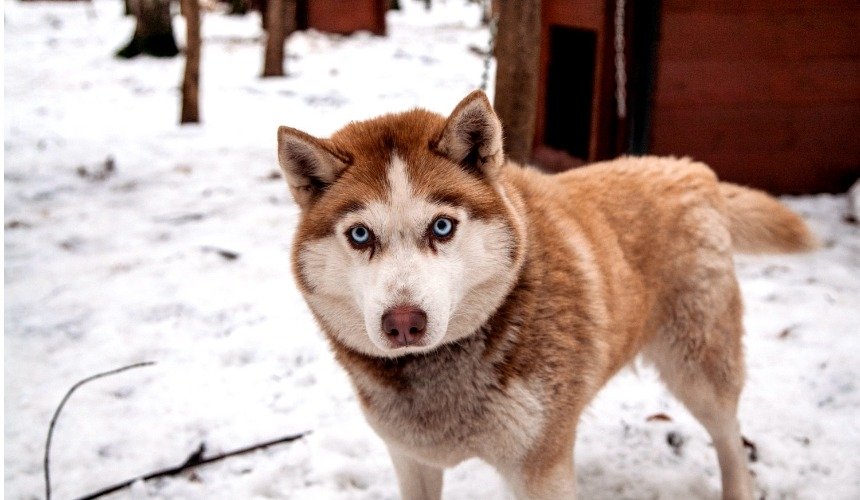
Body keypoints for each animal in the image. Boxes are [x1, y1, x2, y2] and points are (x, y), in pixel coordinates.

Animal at [274, 92, 812, 498]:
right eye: (360, 235)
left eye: (442, 226)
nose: (403, 321)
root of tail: (693, 170)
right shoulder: (412, 459)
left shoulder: (541, 467)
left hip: (700, 371)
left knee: (730, 439)